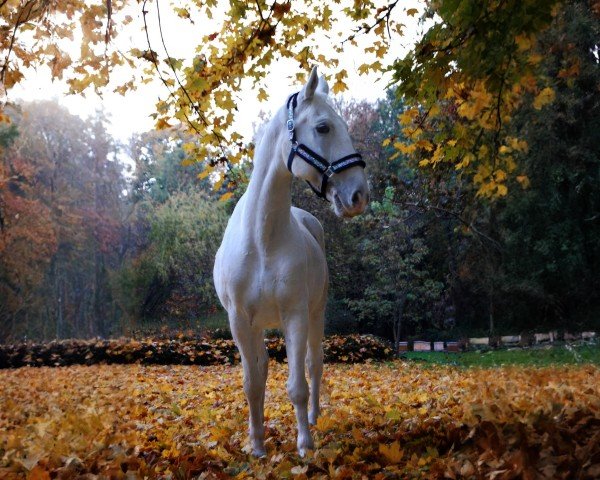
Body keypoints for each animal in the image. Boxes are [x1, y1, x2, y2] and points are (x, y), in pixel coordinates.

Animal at [213, 66, 368, 454]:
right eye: (323, 127)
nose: (358, 195)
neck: (262, 239)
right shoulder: (239, 321)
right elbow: (252, 383)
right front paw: (256, 445)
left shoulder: (295, 315)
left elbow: (298, 385)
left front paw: (304, 445)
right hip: (259, 325)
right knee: (264, 368)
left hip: (316, 314)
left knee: (314, 365)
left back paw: (312, 417)